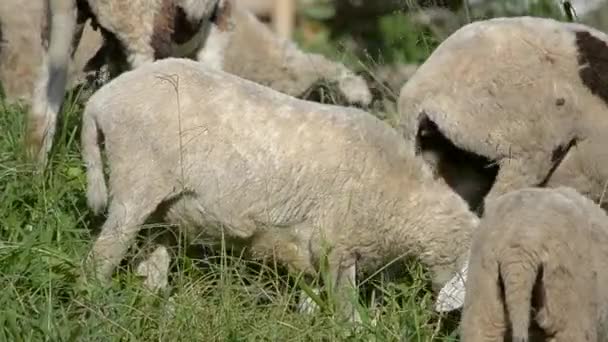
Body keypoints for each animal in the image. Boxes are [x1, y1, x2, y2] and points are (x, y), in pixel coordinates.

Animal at [81, 57, 478, 322]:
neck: (405, 202)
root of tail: (100, 101)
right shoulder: (336, 245)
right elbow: (347, 309)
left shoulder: (313, 252)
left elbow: (313, 301)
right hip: (136, 179)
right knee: (103, 255)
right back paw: (97, 303)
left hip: (165, 209)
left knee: (151, 266)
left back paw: (159, 310)